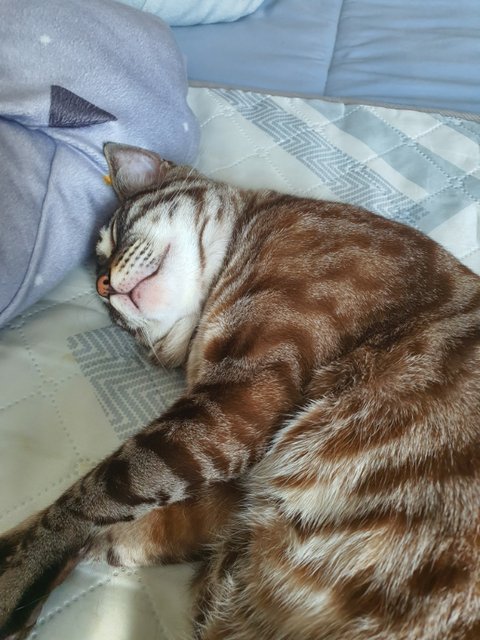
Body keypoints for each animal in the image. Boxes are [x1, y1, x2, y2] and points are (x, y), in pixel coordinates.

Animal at [0, 142, 479, 640]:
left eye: (116, 232)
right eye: (107, 310)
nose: (104, 285)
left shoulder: (241, 397)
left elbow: (95, 494)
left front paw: (13, 579)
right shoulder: (234, 492)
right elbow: (115, 526)